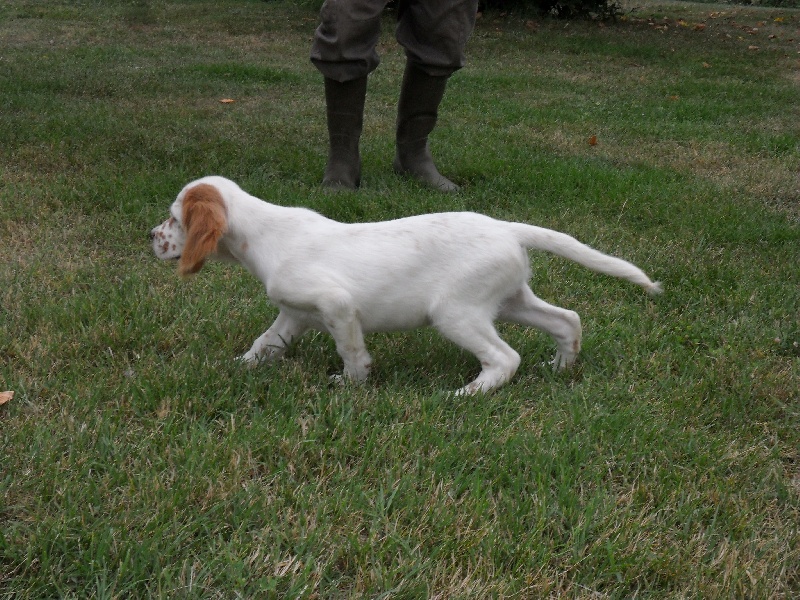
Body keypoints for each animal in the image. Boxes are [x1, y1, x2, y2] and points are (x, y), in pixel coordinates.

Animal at [151, 176, 661, 395]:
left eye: (174, 219)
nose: (151, 237)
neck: (263, 233)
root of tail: (507, 227)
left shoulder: (336, 305)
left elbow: (351, 351)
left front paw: (352, 385)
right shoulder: (294, 313)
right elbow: (264, 345)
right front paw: (235, 368)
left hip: (455, 313)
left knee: (506, 357)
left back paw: (468, 394)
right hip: (510, 300)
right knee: (566, 320)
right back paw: (560, 369)